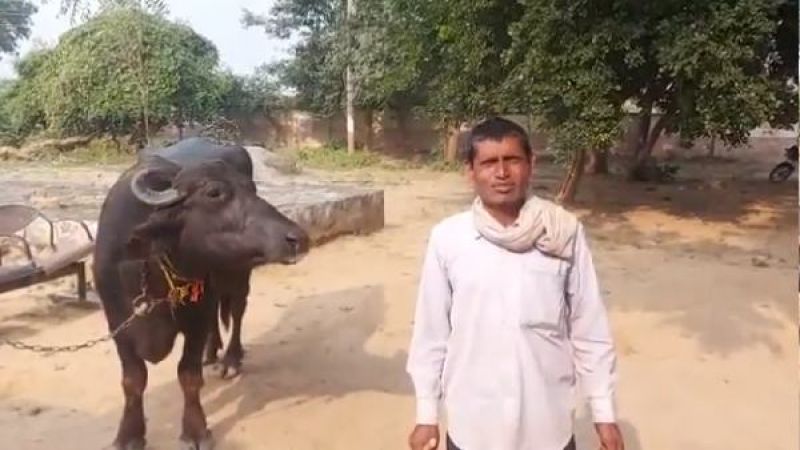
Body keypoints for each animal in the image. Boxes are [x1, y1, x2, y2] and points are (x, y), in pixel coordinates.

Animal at [93, 138, 309, 449]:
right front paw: (129, 434)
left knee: (237, 310)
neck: (152, 264)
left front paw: (196, 430)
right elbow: (133, 379)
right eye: (214, 193)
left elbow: (188, 375)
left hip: (238, 273)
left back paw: (230, 360)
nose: (297, 238)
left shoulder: (195, 318)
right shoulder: (118, 323)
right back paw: (212, 351)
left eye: (252, 189)